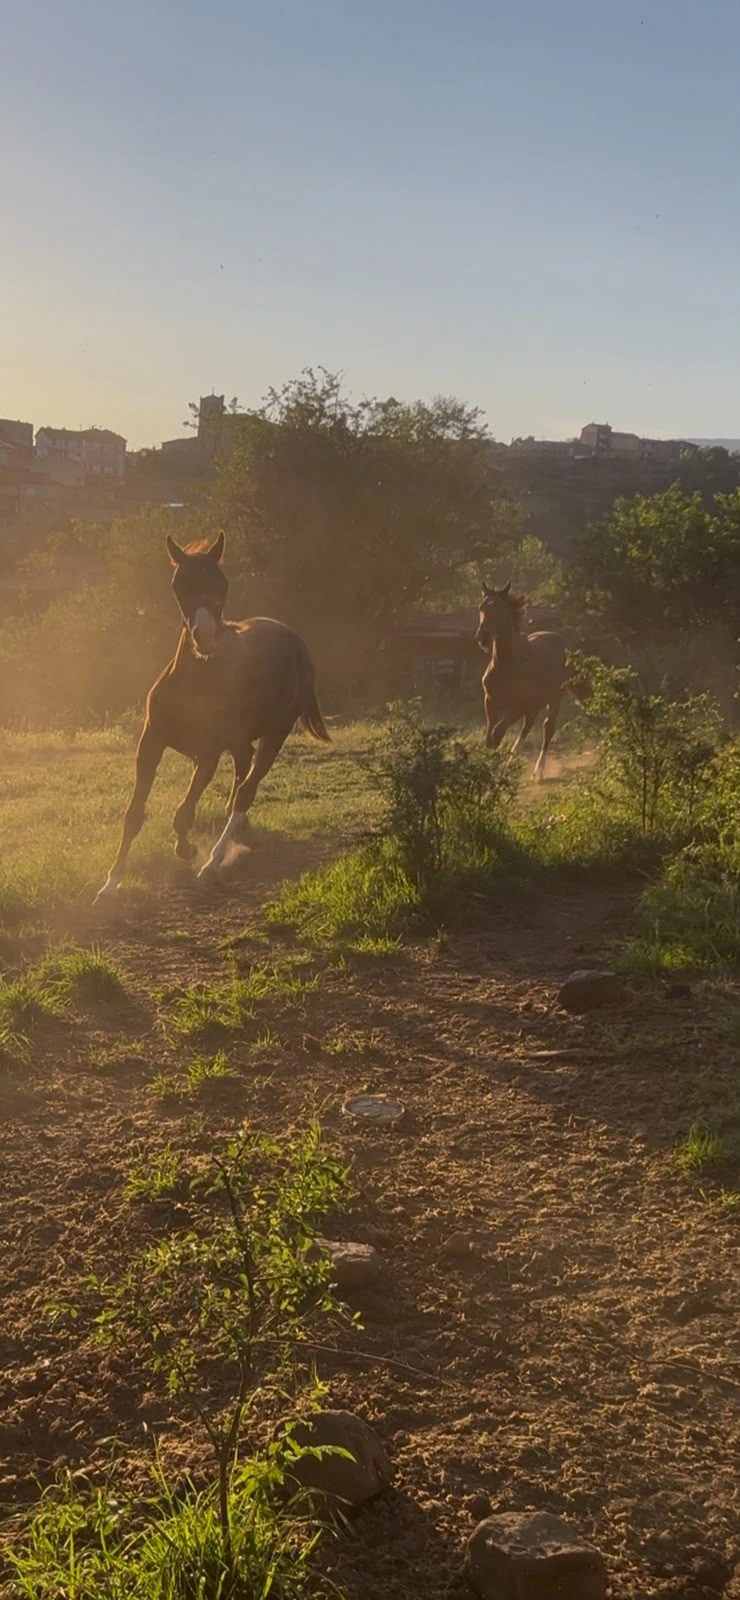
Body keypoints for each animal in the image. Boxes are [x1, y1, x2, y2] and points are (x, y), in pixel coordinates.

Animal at [94, 531, 330, 902]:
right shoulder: (151, 741)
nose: (205, 637)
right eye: (179, 585)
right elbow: (134, 814)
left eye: (222, 583)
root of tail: (296, 640)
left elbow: (182, 814)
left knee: (246, 790)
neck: (197, 681)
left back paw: (214, 860)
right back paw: (239, 835)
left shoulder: (208, 752)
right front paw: (110, 883)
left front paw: (187, 850)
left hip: (275, 734)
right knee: (242, 775)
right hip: (240, 741)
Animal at [476, 580, 585, 779]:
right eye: (481, 607)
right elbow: (489, 737)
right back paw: (511, 764)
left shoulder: (518, 707)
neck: (507, 666)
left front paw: (493, 768)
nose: (483, 638)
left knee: (547, 729)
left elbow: (497, 733)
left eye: (499, 609)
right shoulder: (490, 703)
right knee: (527, 728)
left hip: (553, 700)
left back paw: (538, 771)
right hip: (534, 706)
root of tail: (563, 640)